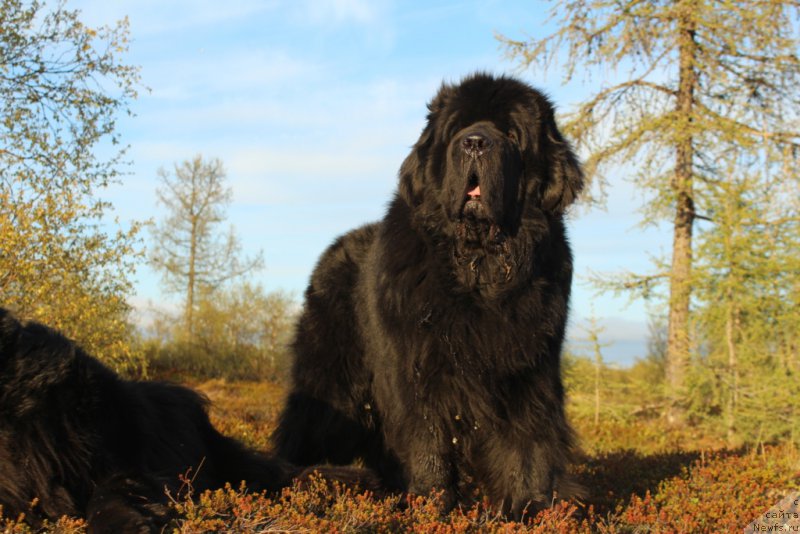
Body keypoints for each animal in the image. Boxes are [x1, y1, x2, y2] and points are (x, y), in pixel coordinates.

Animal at [272, 73, 584, 516]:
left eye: (510, 132)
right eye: (458, 130)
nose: (475, 143)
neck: (478, 267)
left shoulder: (529, 368)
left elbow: (529, 440)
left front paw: (532, 508)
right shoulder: (417, 369)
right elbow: (428, 440)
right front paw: (433, 506)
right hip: (331, 379)